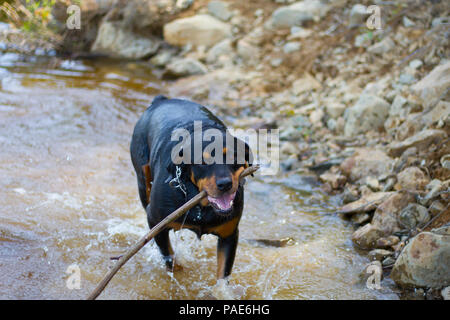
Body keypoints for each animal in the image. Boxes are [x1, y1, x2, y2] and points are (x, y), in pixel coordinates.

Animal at [130, 95, 251, 280]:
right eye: (203, 161)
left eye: (233, 156)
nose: (225, 184)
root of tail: (161, 100)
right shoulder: (156, 221)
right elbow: (170, 259)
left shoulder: (229, 234)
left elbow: (223, 274)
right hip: (143, 180)